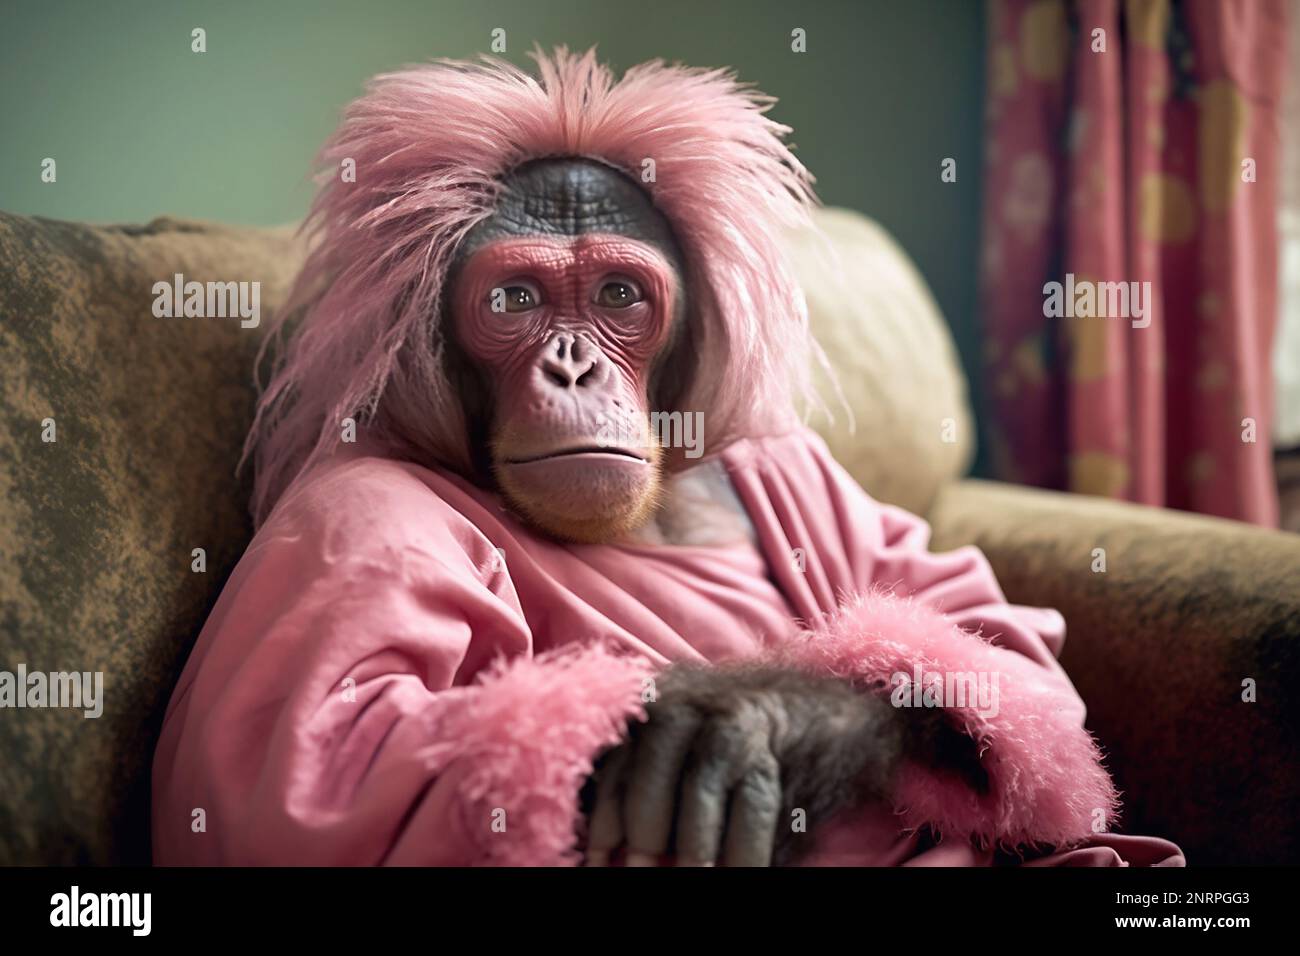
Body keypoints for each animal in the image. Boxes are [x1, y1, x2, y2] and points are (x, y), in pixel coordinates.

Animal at [151, 48, 1181, 868]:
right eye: (515, 300)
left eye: (617, 293)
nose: (574, 365)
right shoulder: (352, 520)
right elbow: (347, 755)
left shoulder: (805, 467)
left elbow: (991, 636)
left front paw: (771, 722)